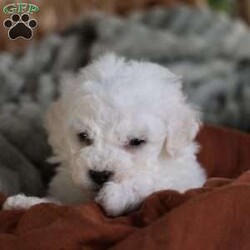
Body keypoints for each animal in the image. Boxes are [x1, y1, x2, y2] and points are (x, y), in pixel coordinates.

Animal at [2, 53, 206, 216]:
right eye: (83, 136)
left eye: (136, 141)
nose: (100, 175)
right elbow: (57, 204)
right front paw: (25, 202)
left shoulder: (183, 180)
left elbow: (154, 185)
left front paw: (118, 194)